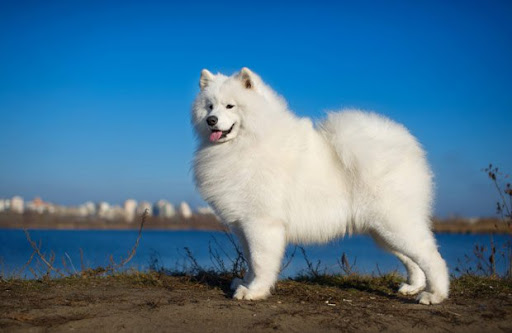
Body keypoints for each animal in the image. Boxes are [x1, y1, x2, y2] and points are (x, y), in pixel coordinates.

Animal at [191, 67, 448, 304]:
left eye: (230, 106)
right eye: (210, 106)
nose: (211, 121)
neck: (248, 143)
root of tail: (406, 147)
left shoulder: (261, 223)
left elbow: (260, 261)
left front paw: (254, 291)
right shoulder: (244, 225)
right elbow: (251, 261)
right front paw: (244, 283)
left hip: (394, 224)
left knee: (432, 257)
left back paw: (434, 295)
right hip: (382, 231)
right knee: (413, 260)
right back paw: (412, 287)